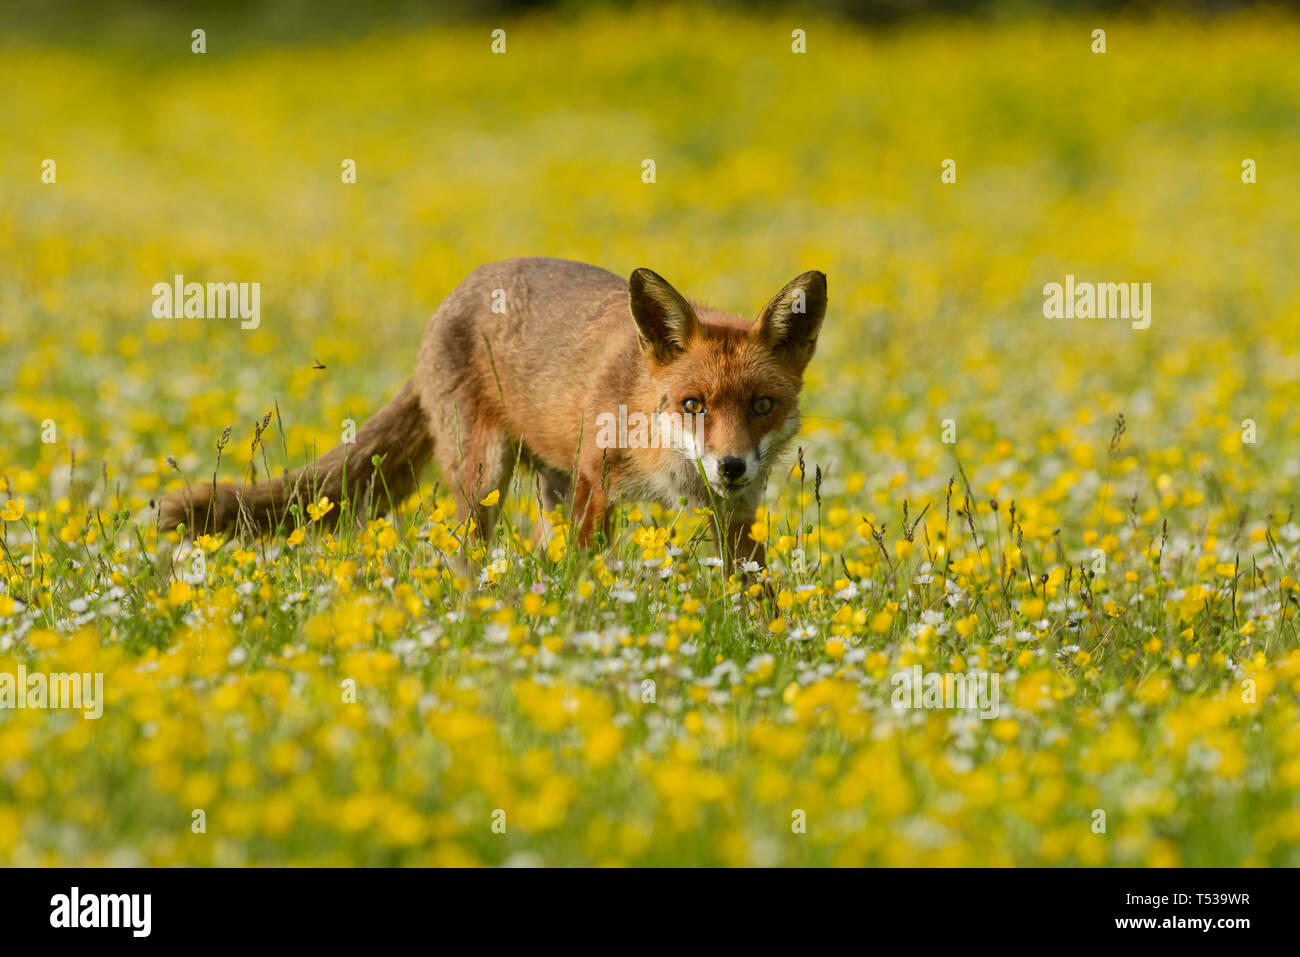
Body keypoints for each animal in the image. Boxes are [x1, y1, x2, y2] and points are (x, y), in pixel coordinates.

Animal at [159, 256, 821, 566]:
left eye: (762, 405)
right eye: (693, 405)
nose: (731, 466)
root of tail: (454, 295)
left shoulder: (738, 512)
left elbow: (756, 588)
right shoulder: (596, 481)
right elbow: (590, 567)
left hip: (546, 484)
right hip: (484, 479)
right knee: (464, 553)